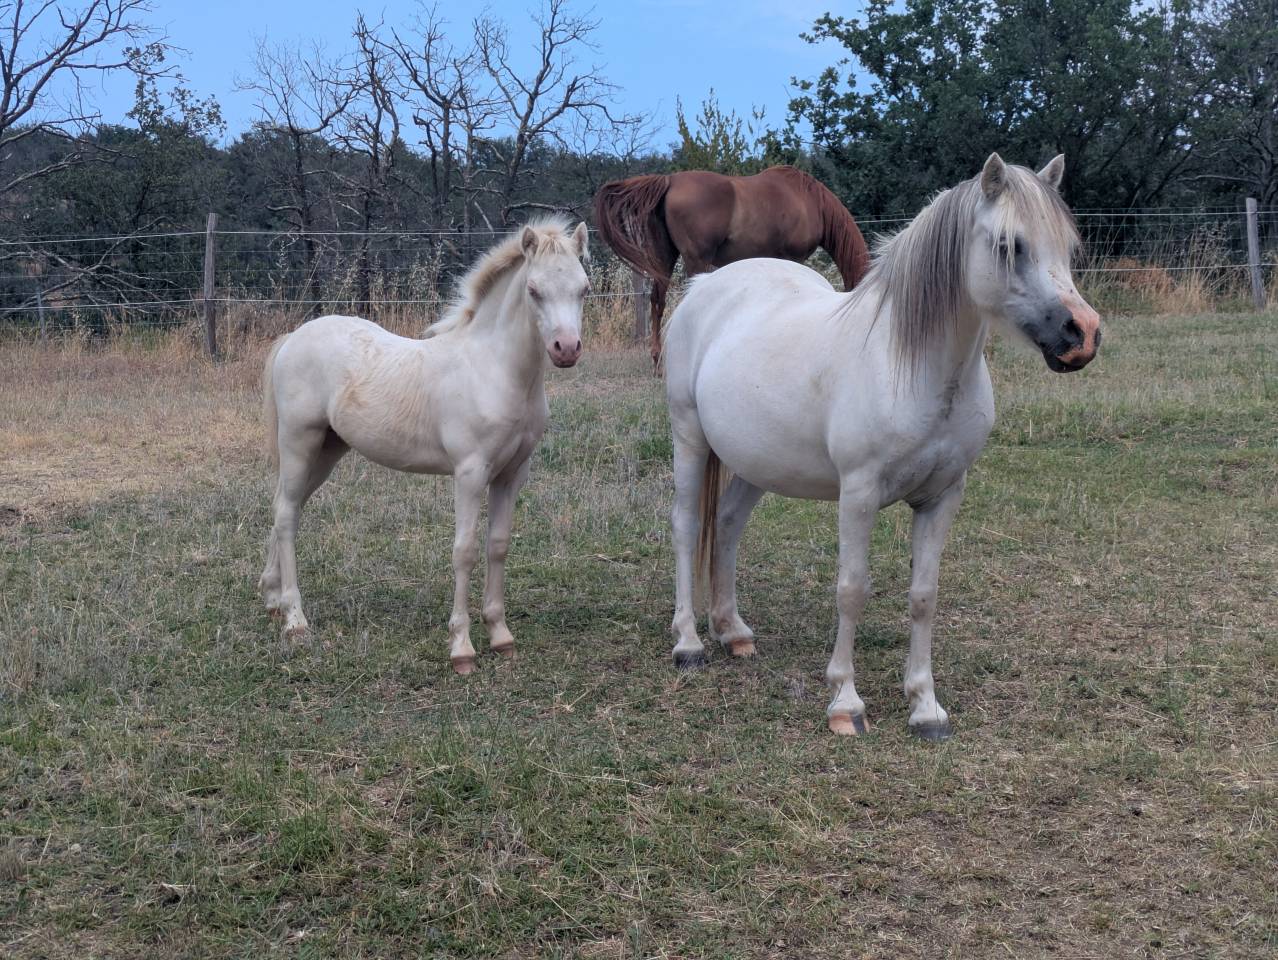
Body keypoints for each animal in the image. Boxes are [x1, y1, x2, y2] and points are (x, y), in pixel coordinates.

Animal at [259, 218, 591, 674]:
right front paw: (462, 648)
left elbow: (498, 545)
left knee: (283, 509)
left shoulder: (512, 473)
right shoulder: (470, 472)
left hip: (326, 451)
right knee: (287, 515)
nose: (566, 349)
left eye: (584, 289)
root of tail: (292, 337)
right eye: (534, 290)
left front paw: (501, 636)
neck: (493, 370)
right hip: (299, 441)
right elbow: (464, 550)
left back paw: (273, 599)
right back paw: (295, 620)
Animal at [594, 165, 871, 365]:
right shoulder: (793, 258)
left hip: (665, 258)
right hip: (696, 259)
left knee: (657, 301)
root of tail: (670, 181)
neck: (808, 200)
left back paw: (657, 362)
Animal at [663, 154, 1100, 739]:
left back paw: (733, 631)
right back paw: (689, 643)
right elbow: (852, 589)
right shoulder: (860, 494)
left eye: (1068, 248)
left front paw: (925, 705)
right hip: (688, 438)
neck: (912, 365)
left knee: (728, 525)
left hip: (756, 462)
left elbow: (923, 596)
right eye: (1011, 245)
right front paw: (845, 703)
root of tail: (704, 287)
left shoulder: (943, 497)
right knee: (689, 526)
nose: (1083, 335)